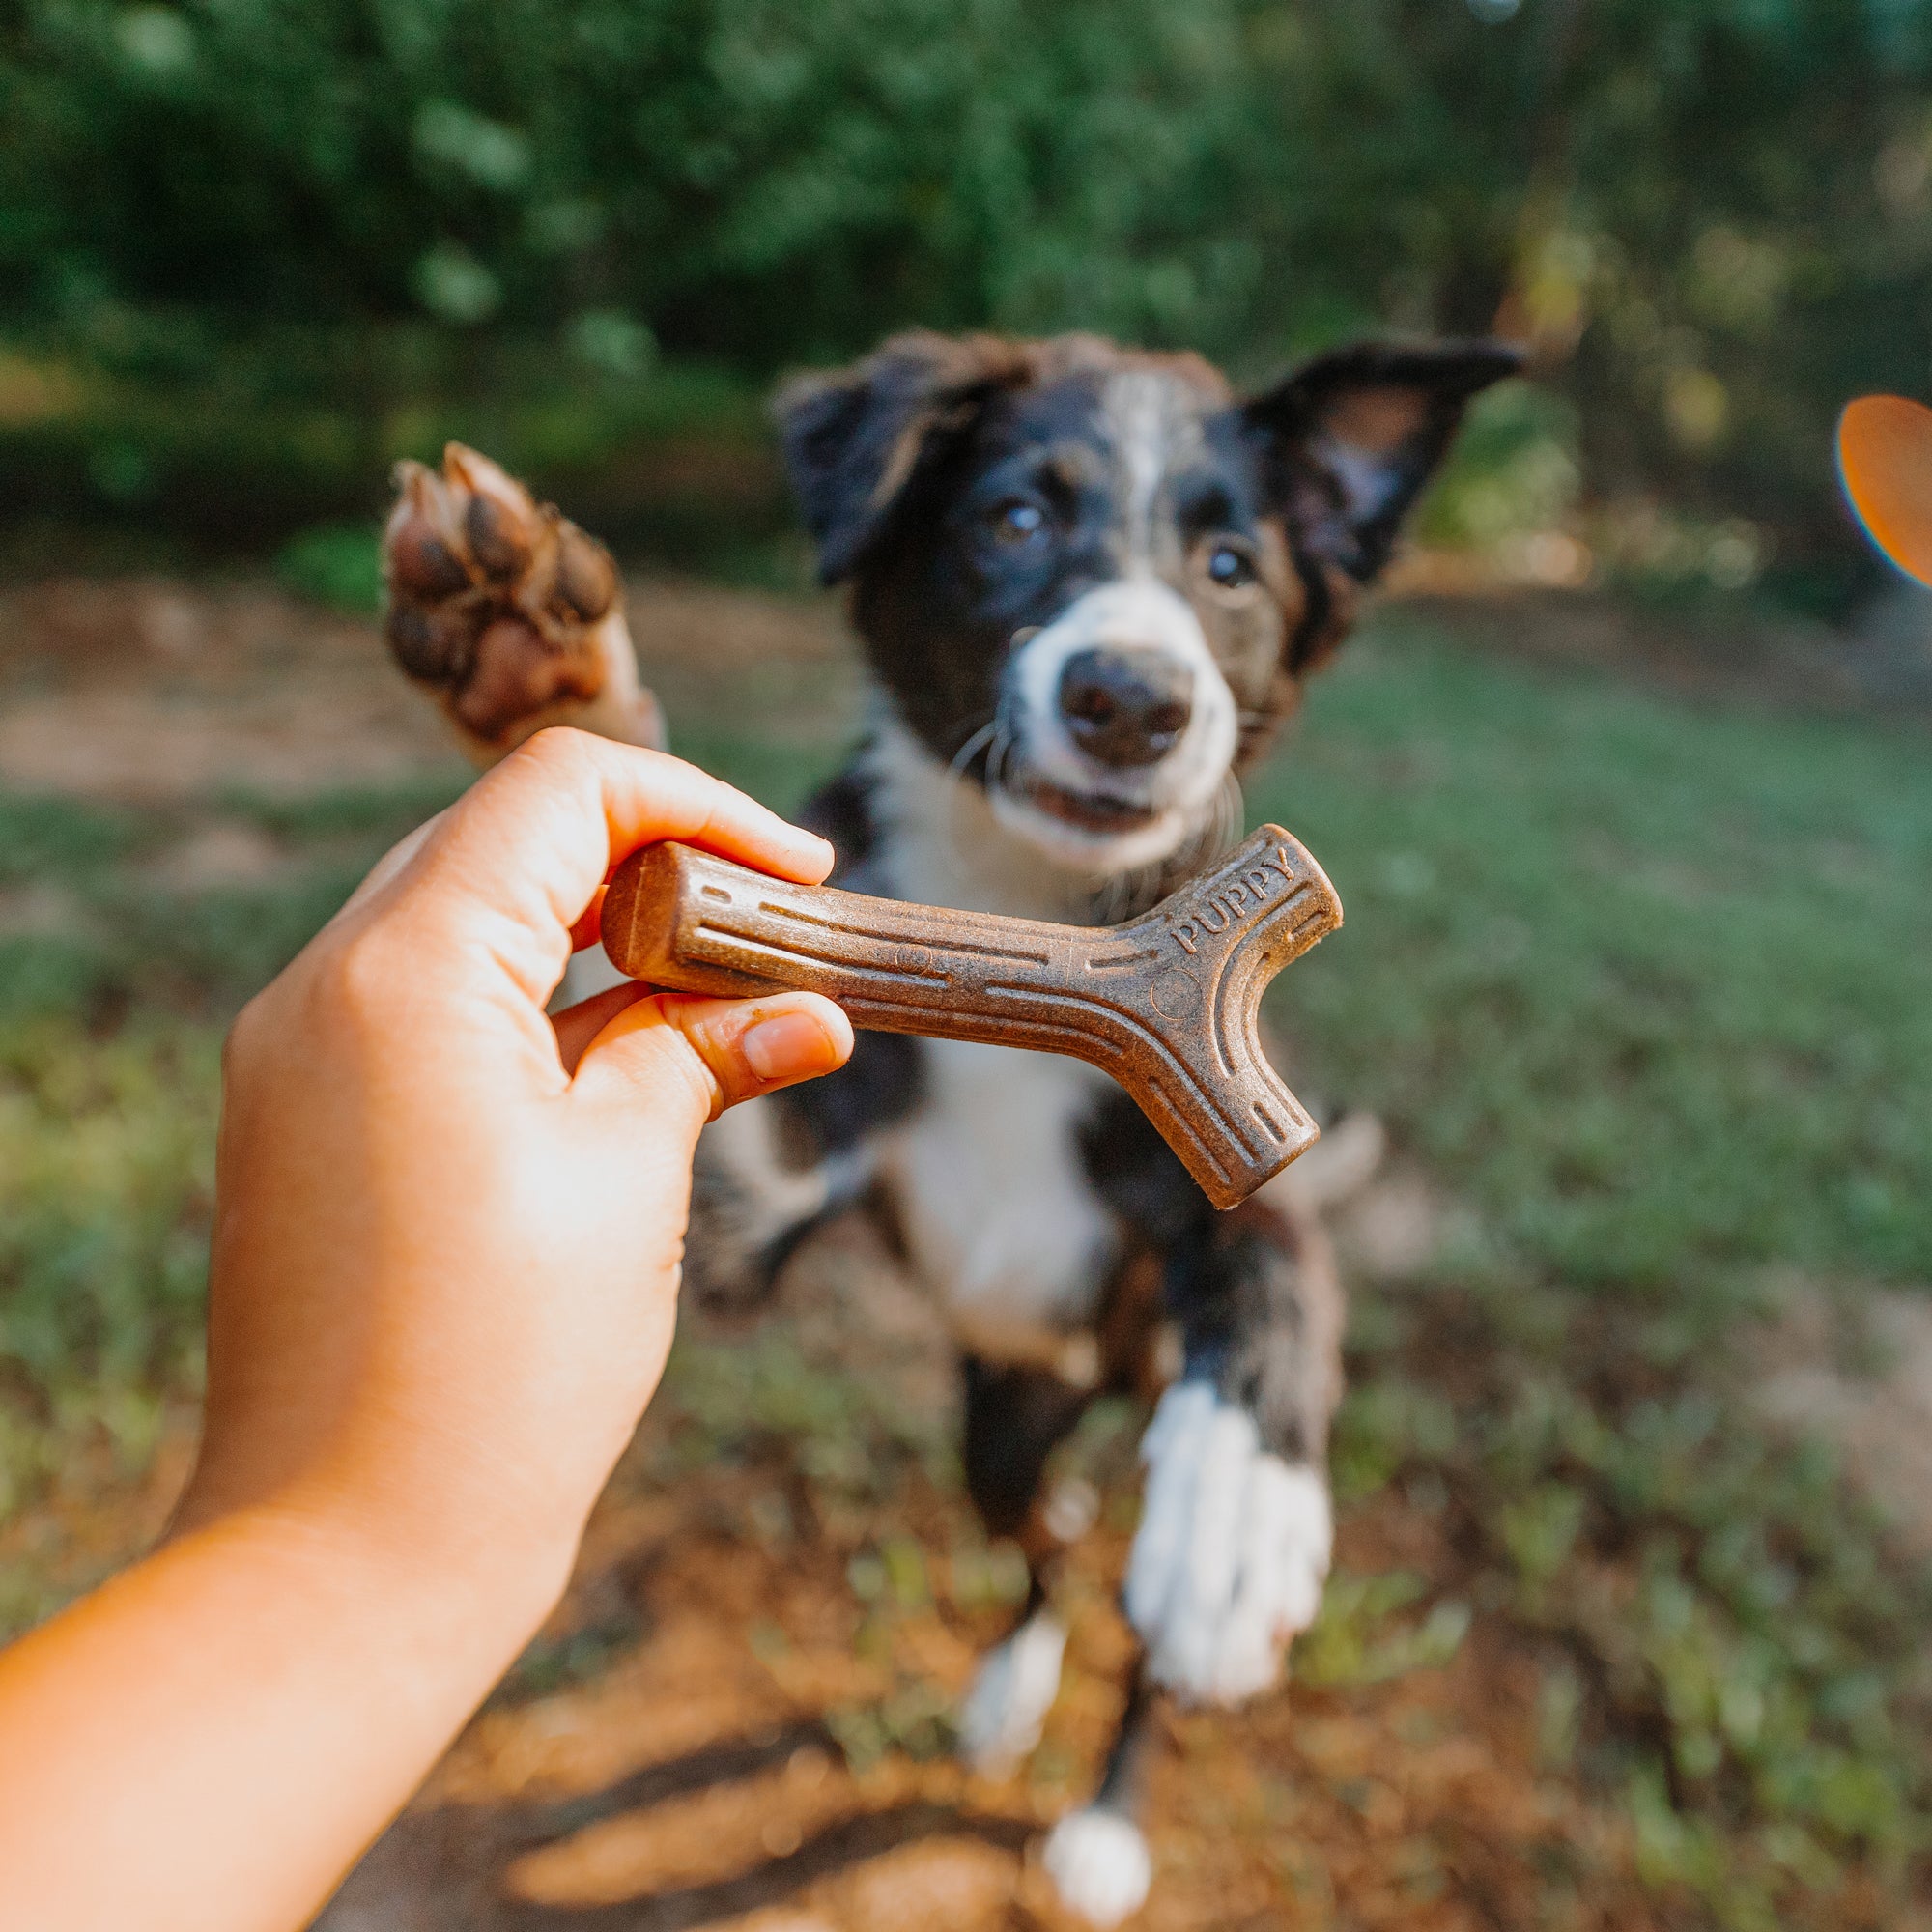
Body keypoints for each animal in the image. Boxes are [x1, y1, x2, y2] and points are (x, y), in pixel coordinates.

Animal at [377, 325, 1515, 1924]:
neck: (1027, 897)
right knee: (1048, 1538)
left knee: (1134, 1616)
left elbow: (1277, 1261)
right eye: (1014, 521)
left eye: (1232, 565)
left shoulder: (1218, 1172)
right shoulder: (765, 1191)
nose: (1132, 699)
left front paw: (1240, 1510)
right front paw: (542, 675)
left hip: (1113, 1367)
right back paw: (1009, 1690)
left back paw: (1110, 1810)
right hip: (999, 1421)